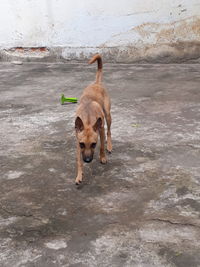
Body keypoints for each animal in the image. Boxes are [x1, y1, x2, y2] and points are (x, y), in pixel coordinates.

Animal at [74, 54, 112, 184]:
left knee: (109, 131)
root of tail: (96, 83)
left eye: (93, 144)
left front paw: (103, 157)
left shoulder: (100, 130)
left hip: (108, 116)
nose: (87, 160)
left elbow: (101, 147)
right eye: (82, 144)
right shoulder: (77, 140)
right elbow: (78, 161)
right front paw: (79, 175)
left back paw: (109, 145)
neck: (88, 119)